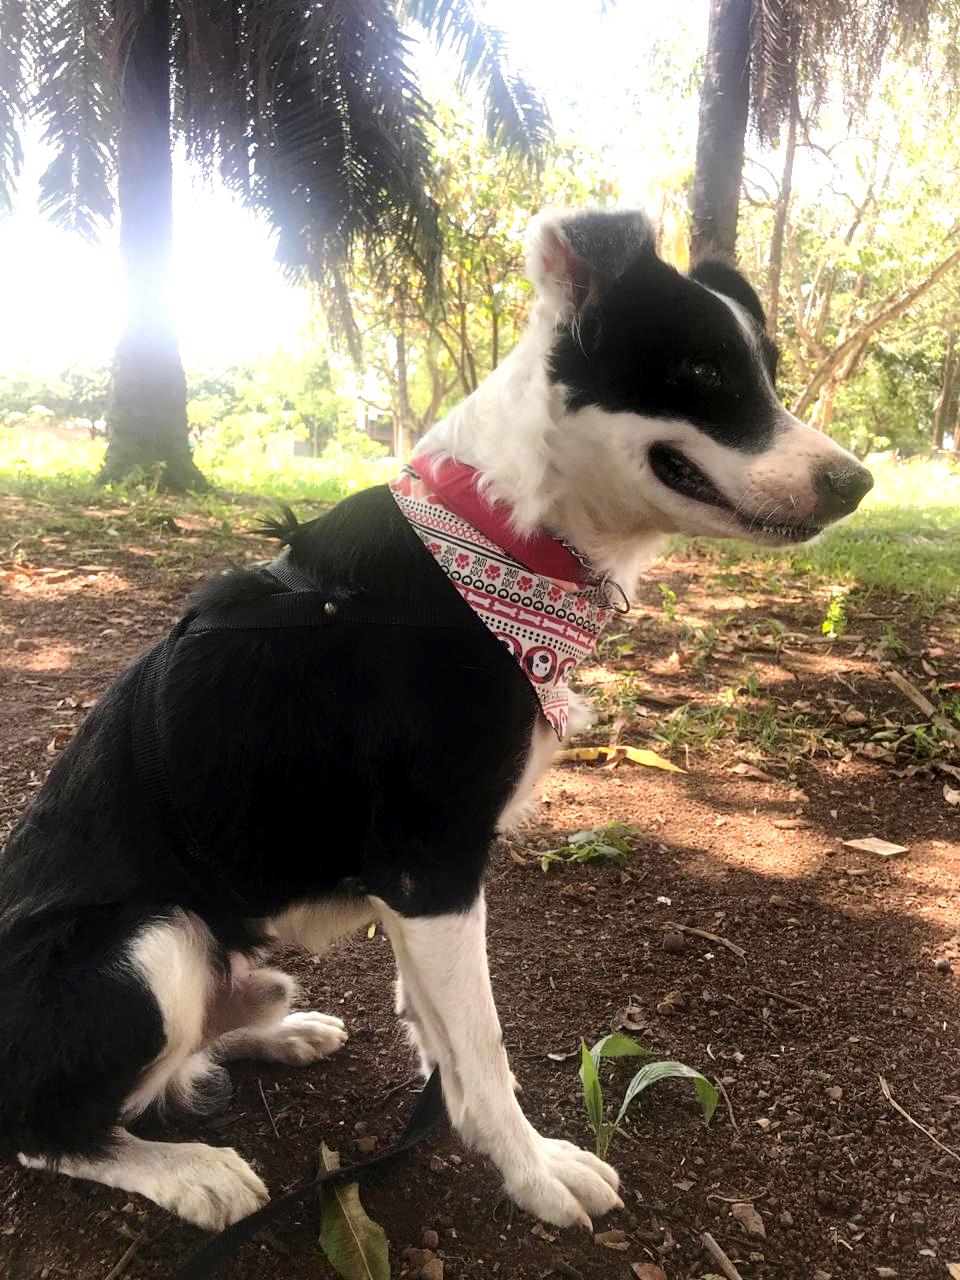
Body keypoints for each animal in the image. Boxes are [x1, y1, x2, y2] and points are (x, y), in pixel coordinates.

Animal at [0, 209, 873, 1234]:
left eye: (767, 369)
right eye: (701, 371)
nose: (856, 484)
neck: (502, 543)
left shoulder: (420, 891)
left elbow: (442, 1028)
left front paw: (449, 1098)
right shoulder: (431, 868)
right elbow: (484, 1043)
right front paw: (532, 1169)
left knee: (176, 1059)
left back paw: (277, 1032)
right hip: (151, 944)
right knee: (48, 1124)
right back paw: (188, 1172)